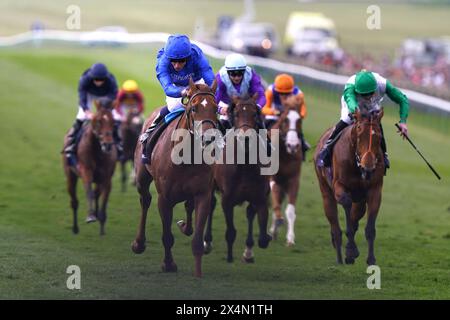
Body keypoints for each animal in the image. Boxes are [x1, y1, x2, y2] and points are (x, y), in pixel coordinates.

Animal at [62, 99, 118, 236]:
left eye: (113, 122)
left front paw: (101, 222)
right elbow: (88, 191)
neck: (98, 152)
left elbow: (103, 197)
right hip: (70, 175)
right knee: (74, 202)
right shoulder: (86, 171)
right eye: (98, 121)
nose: (108, 144)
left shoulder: (106, 178)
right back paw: (75, 228)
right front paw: (91, 215)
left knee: (97, 193)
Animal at [132, 78, 218, 278]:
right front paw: (169, 264)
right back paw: (139, 243)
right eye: (194, 108)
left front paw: (198, 274)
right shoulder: (164, 198)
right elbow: (167, 236)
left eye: (216, 108)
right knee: (145, 200)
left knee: (188, 206)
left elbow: (196, 239)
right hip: (142, 178)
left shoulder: (203, 194)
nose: (209, 139)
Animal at [202, 94, 272, 262]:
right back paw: (207, 242)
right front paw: (229, 256)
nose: (245, 138)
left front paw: (250, 250)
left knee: (249, 212)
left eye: (254, 114)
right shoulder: (227, 199)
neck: (244, 165)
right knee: (210, 205)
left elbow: (262, 239)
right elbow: (231, 231)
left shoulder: (260, 197)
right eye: (236, 114)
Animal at [314, 110, 384, 264]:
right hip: (325, 190)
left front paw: (371, 259)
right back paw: (339, 252)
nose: (368, 168)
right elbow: (346, 204)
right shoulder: (339, 186)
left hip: (360, 200)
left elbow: (369, 227)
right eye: (359, 134)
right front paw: (351, 250)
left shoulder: (375, 190)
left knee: (356, 214)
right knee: (334, 220)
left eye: (379, 137)